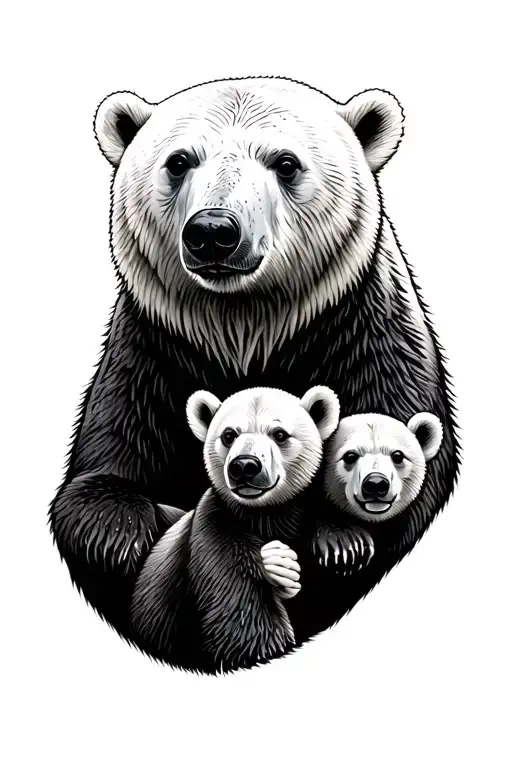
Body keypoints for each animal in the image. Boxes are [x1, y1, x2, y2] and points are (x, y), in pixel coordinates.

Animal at [130, 385, 340, 673]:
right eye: (229, 435)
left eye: (279, 434)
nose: (244, 466)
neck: (263, 514)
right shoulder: (216, 531)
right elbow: (243, 617)